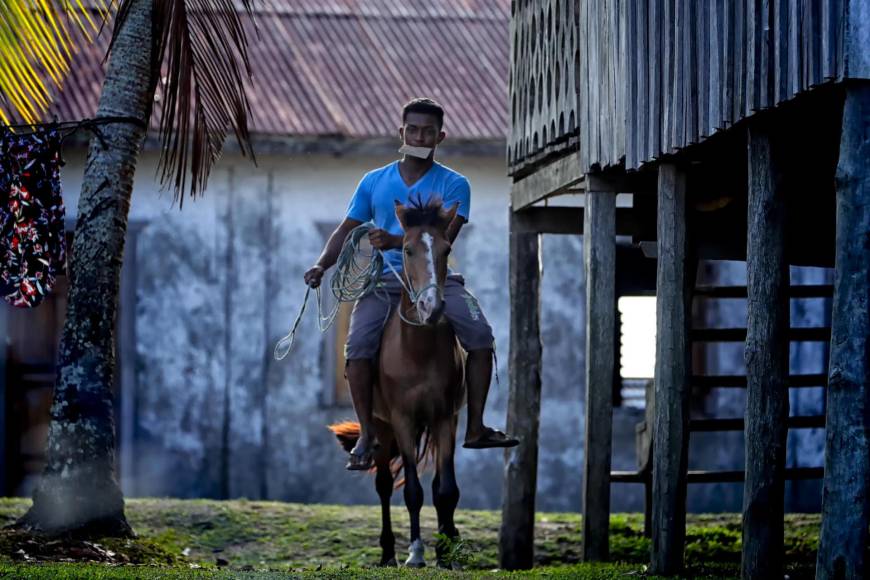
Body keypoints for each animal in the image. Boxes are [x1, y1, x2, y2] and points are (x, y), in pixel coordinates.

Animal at [328, 198, 466, 568]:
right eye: (406, 249)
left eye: (447, 249)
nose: (431, 307)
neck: (418, 350)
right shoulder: (402, 420)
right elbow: (413, 492)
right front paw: (415, 553)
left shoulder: (444, 417)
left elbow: (446, 490)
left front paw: (447, 552)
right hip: (381, 425)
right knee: (385, 484)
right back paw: (389, 552)